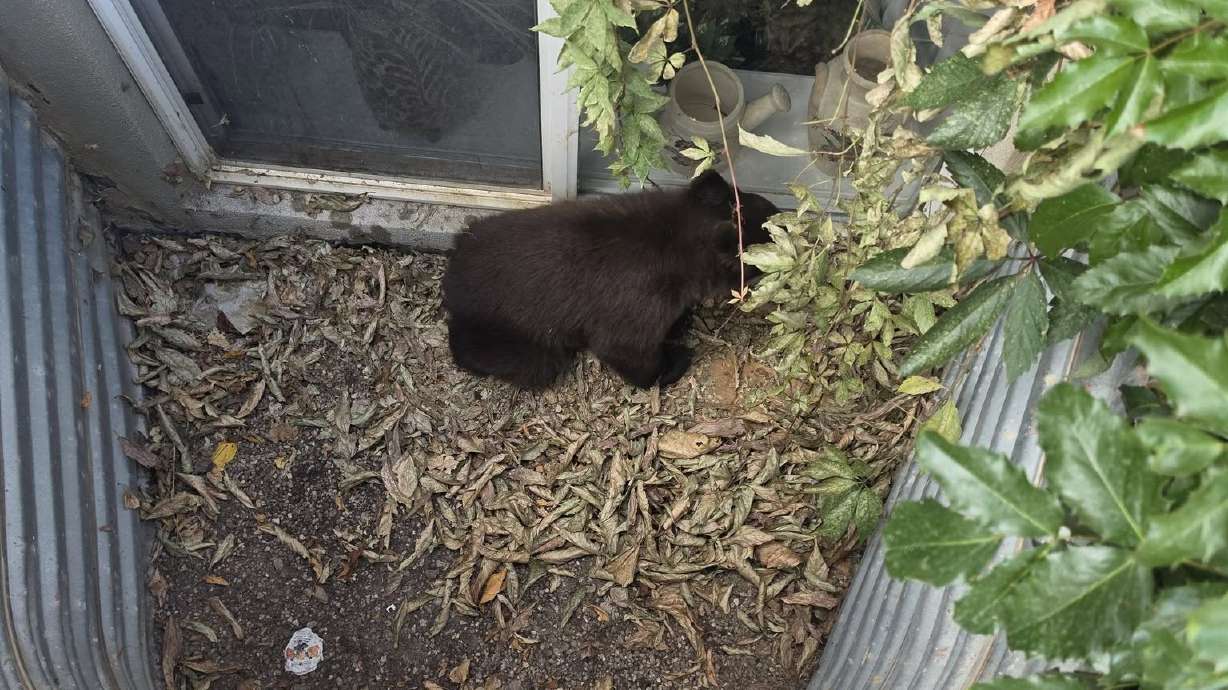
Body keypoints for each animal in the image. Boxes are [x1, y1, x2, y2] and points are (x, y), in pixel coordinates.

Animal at [440, 170, 780, 390]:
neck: (678, 238)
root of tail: (450, 281)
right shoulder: (639, 309)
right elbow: (631, 355)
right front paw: (675, 360)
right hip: (522, 344)